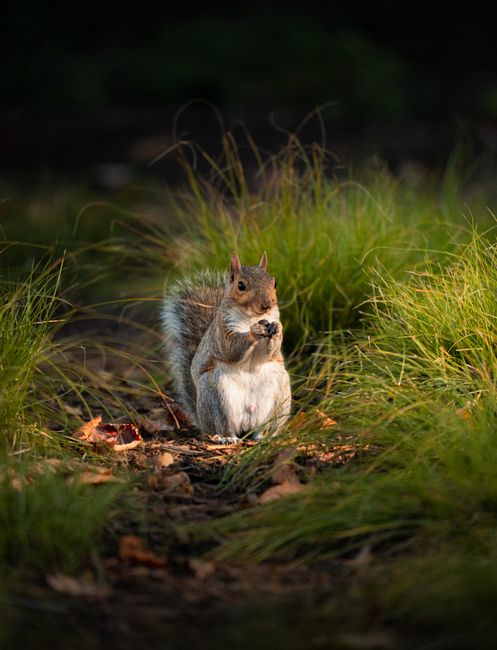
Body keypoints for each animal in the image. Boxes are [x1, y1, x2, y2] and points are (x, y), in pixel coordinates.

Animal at [161, 252, 291, 443]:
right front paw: (253, 331)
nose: (267, 305)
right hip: (215, 394)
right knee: (221, 427)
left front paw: (278, 329)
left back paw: (265, 436)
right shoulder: (222, 331)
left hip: (280, 396)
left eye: (274, 283)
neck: (252, 317)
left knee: (266, 426)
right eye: (241, 285)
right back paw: (226, 438)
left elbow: (268, 353)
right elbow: (230, 349)